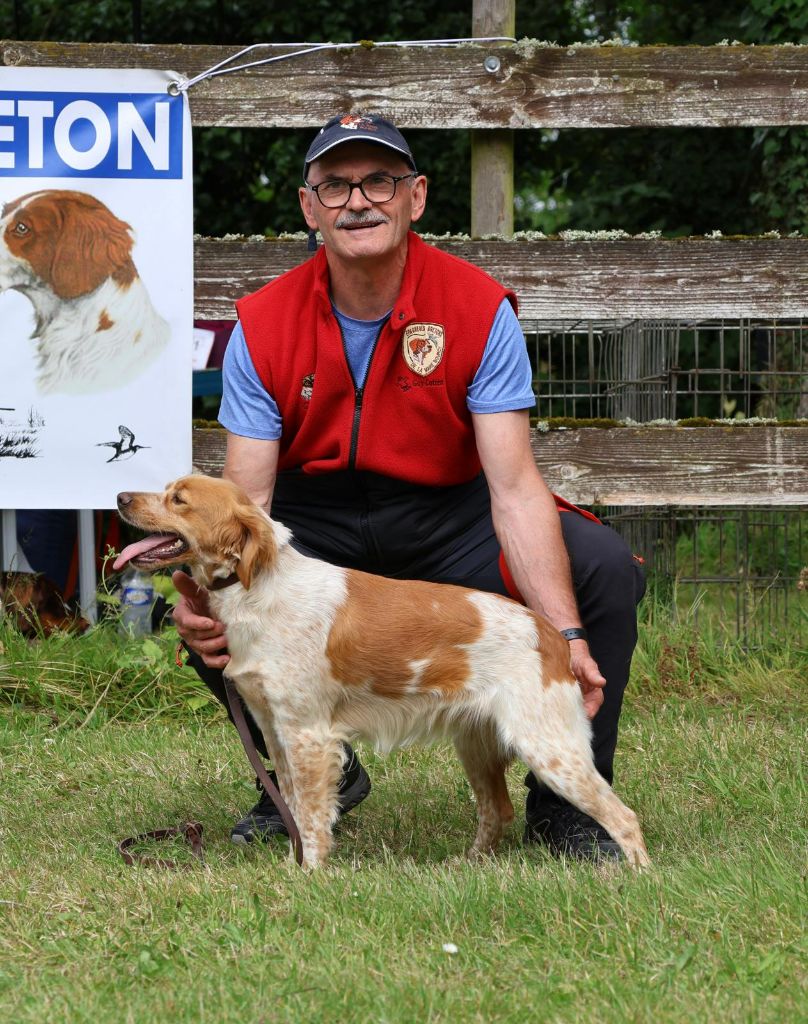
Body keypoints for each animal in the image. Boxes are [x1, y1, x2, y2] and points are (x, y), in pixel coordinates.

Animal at [115, 475, 651, 868]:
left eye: (178, 499)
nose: (119, 497)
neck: (259, 589)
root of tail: (551, 634)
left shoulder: (308, 734)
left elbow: (312, 818)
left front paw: (310, 874)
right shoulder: (274, 730)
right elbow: (292, 806)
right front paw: (292, 867)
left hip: (548, 747)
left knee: (623, 815)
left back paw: (637, 876)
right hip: (478, 746)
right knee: (497, 811)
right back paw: (468, 865)